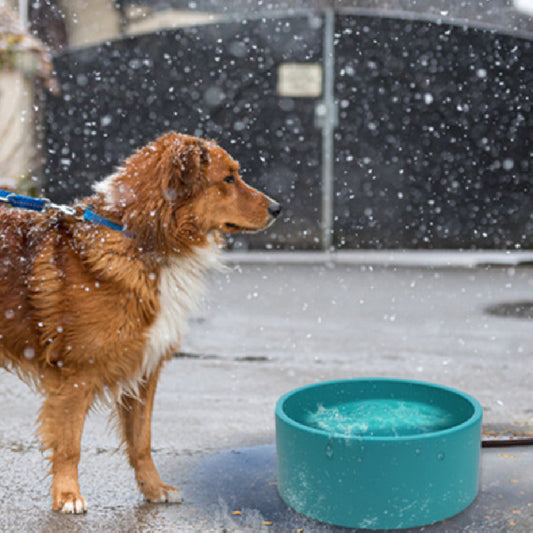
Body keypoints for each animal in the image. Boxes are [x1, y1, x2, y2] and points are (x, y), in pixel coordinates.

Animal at [0, 132, 280, 512]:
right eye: (229, 178)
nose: (278, 208)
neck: (142, 238)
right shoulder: (75, 375)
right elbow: (70, 444)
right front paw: (68, 495)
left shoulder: (145, 368)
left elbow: (142, 440)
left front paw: (153, 488)